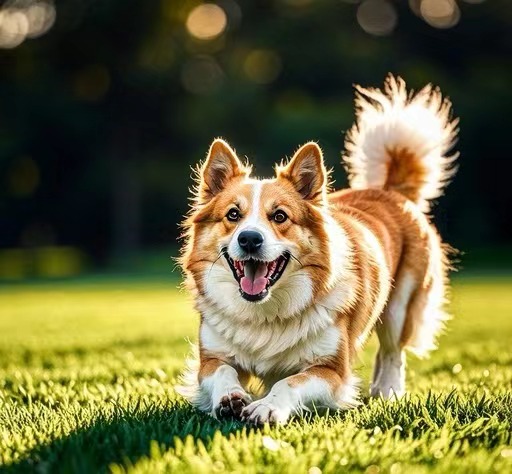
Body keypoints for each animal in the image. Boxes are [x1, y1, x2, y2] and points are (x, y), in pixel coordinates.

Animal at [178, 75, 458, 426]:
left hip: (401, 306)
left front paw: (266, 407)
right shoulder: (210, 359)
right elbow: (224, 372)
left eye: (279, 216)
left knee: (393, 352)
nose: (250, 240)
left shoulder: (332, 371)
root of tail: (390, 190)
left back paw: (387, 392)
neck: (266, 313)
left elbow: (288, 382)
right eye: (232, 215)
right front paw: (231, 398)